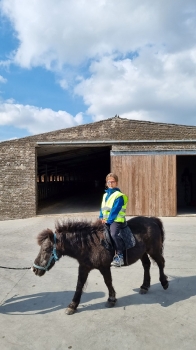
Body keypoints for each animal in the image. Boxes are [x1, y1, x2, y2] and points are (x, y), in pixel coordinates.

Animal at [31, 216, 168, 314]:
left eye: (45, 249)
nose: (34, 269)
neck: (89, 245)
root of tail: (152, 220)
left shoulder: (104, 267)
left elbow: (108, 282)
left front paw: (111, 299)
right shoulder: (84, 267)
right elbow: (79, 285)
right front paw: (72, 306)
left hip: (153, 250)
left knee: (161, 262)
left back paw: (164, 283)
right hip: (143, 252)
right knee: (146, 265)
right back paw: (145, 286)